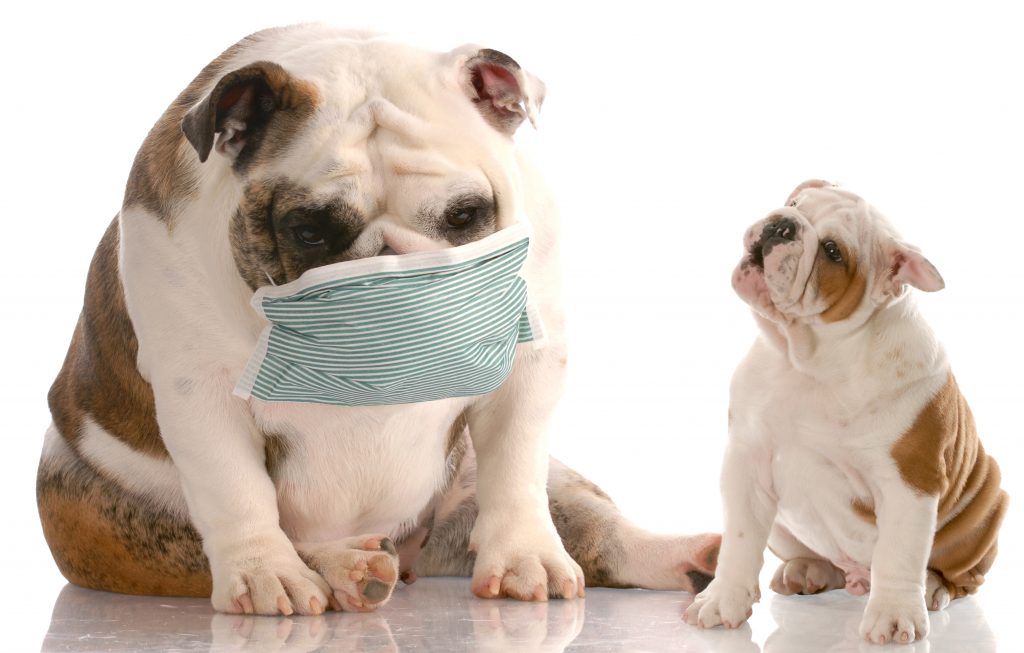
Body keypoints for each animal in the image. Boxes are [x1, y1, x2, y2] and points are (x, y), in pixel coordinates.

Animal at [34, 25, 720, 618]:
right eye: (308, 231)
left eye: (464, 214)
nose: (395, 271)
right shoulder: (196, 388)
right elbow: (235, 489)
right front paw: (265, 574)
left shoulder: (528, 359)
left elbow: (516, 467)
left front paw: (528, 556)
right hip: (94, 509)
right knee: (208, 544)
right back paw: (341, 569)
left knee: (591, 525)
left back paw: (689, 557)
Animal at [684, 182, 1011, 646]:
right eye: (796, 204)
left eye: (833, 251)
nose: (783, 224)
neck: (809, 359)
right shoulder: (746, 461)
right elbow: (740, 540)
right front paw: (722, 600)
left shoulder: (908, 483)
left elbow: (898, 552)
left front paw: (893, 615)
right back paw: (808, 569)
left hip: (988, 507)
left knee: (958, 575)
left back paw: (932, 587)